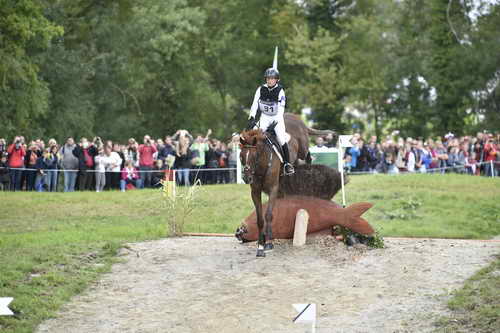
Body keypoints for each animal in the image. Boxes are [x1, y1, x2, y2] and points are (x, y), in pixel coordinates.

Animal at [239, 112, 336, 256]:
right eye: (241, 156)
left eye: (254, 156)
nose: (246, 178)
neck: (262, 165)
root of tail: (297, 118)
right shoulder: (255, 192)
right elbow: (260, 219)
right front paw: (260, 246)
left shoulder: (273, 189)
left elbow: (268, 215)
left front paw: (269, 243)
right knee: (297, 161)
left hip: (303, 146)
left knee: (307, 154)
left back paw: (307, 164)